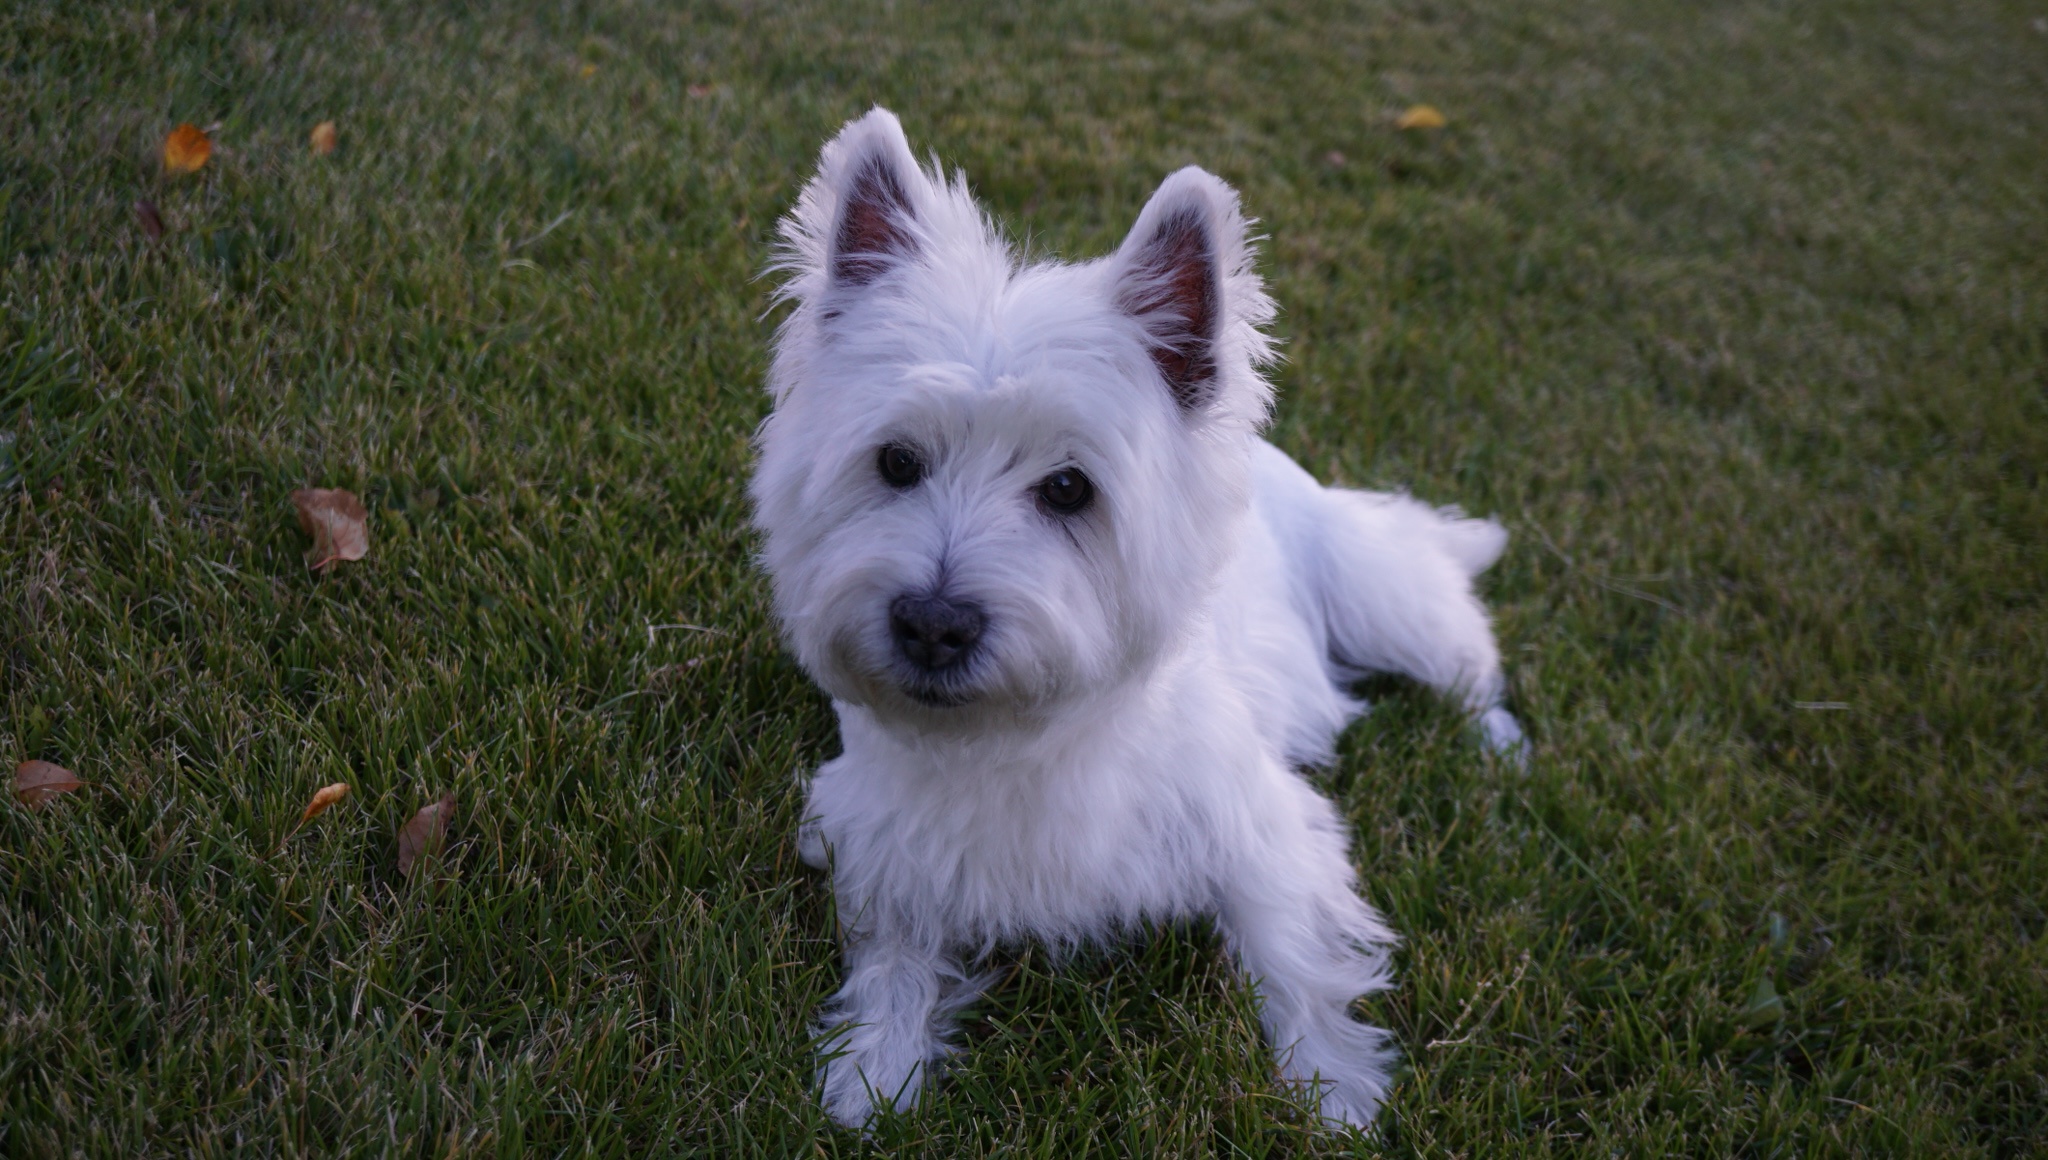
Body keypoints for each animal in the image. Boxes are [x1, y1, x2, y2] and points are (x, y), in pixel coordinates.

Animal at [753, 111, 1523, 1139]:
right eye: (897, 462)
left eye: (1069, 488)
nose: (933, 624)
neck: (1020, 742)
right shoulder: (883, 840)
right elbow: (896, 958)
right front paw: (871, 1072)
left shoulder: (1260, 828)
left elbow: (1294, 958)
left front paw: (1333, 1094)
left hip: (1381, 596)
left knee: (1464, 649)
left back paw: (1501, 744)